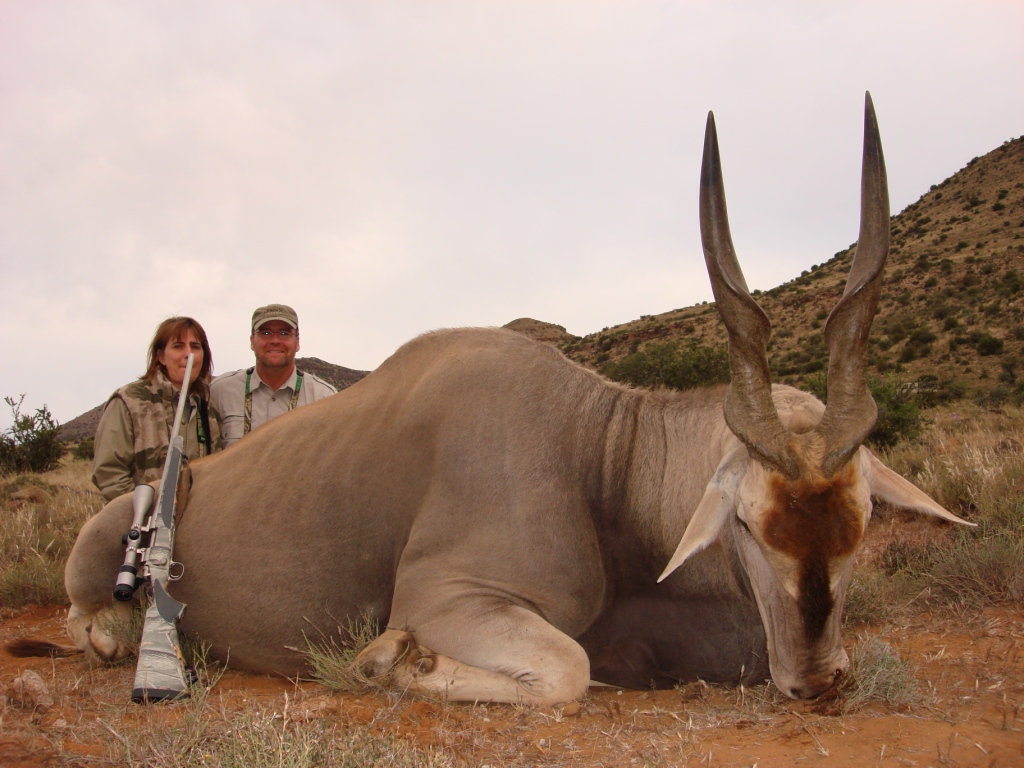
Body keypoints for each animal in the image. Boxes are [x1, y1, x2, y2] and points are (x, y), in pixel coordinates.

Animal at [62, 93, 969, 707]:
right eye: (746, 524)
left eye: (864, 520)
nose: (819, 680)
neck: (595, 455)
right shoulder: (447, 598)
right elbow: (566, 671)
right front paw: (391, 660)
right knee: (87, 626)